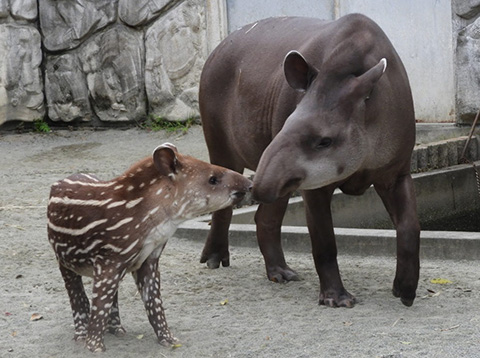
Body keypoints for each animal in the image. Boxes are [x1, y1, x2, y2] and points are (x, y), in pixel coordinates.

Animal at [47, 143, 253, 352]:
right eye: (213, 179)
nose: (249, 184)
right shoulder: (109, 259)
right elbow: (100, 302)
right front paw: (95, 346)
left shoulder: (148, 257)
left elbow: (153, 300)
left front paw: (169, 339)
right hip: (62, 257)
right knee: (76, 291)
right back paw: (82, 335)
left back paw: (118, 330)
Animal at [199, 13, 420, 304]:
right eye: (285, 123)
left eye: (324, 140)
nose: (257, 187)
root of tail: (217, 48)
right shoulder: (314, 183)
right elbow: (324, 240)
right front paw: (337, 299)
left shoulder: (396, 170)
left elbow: (410, 225)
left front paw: (405, 290)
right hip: (216, 126)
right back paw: (213, 259)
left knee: (266, 216)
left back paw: (280, 273)